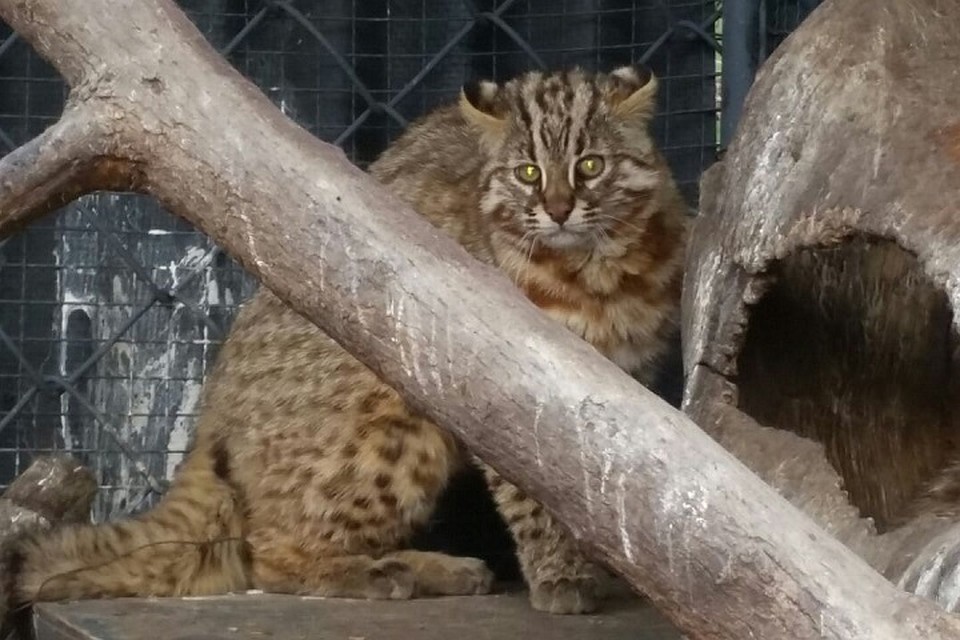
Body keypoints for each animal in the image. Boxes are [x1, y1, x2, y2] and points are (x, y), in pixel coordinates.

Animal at [1, 63, 688, 616]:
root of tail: (214, 412)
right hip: (389, 427)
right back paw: (392, 570)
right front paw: (560, 576)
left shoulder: (621, 392)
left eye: (591, 165)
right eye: (526, 173)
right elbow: (536, 498)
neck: (593, 274)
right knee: (271, 557)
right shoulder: (509, 395)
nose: (559, 208)